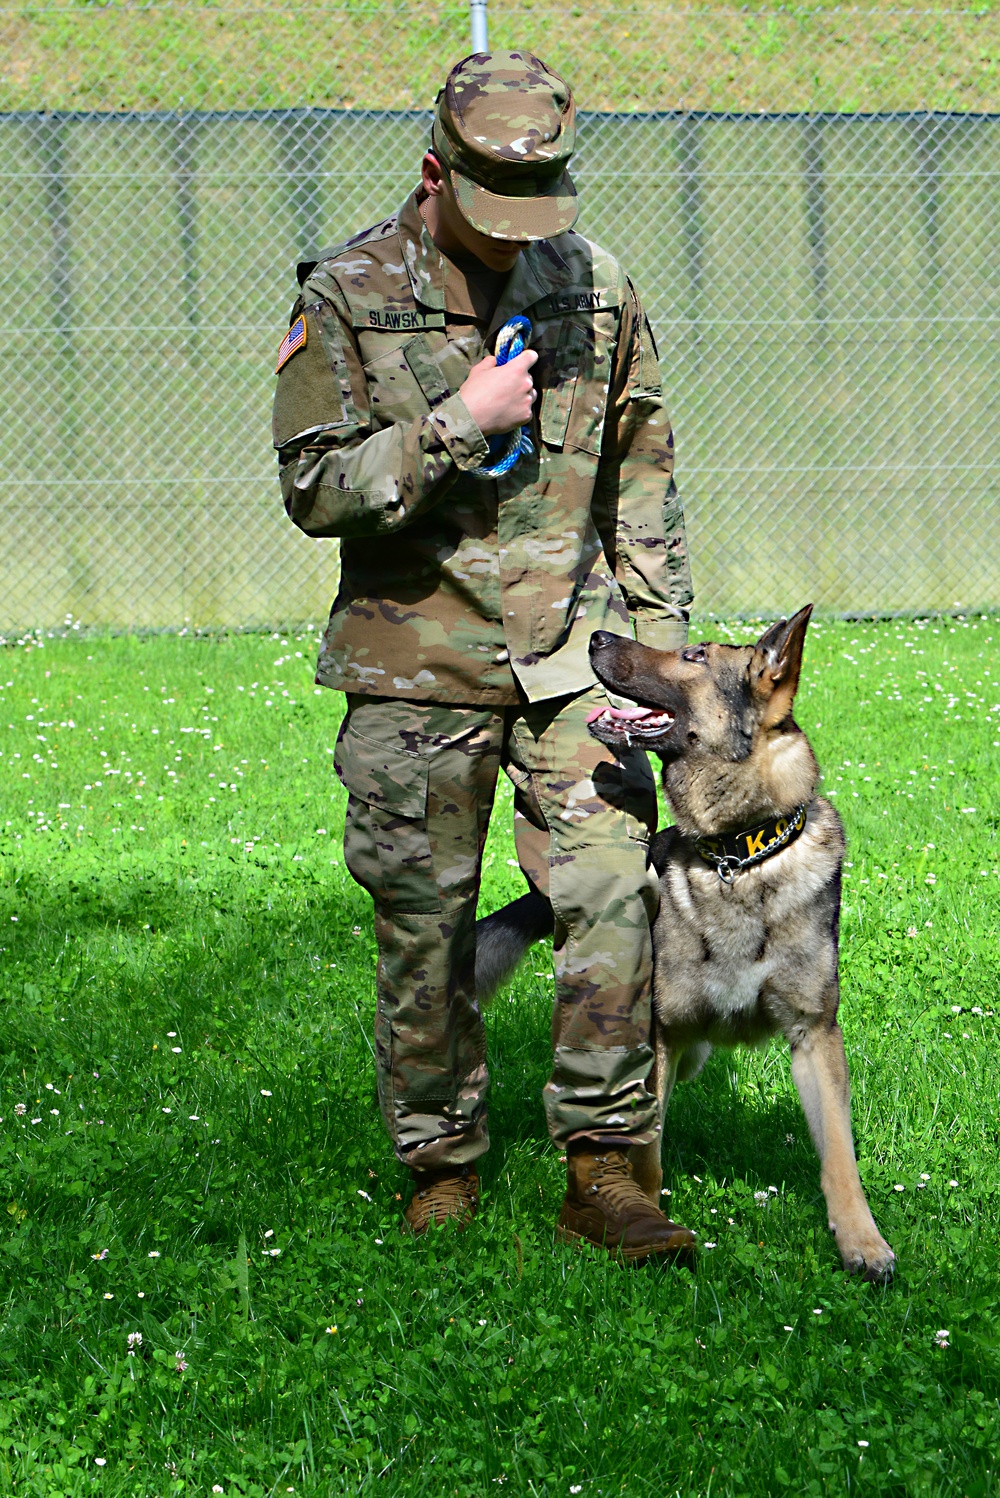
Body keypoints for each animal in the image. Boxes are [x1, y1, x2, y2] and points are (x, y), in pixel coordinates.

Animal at [479, 602, 898, 1282]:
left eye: (694, 657)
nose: (595, 635)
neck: (739, 855)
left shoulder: (815, 1037)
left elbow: (839, 1153)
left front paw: (862, 1242)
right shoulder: (660, 1037)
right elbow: (645, 1143)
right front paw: (643, 1216)